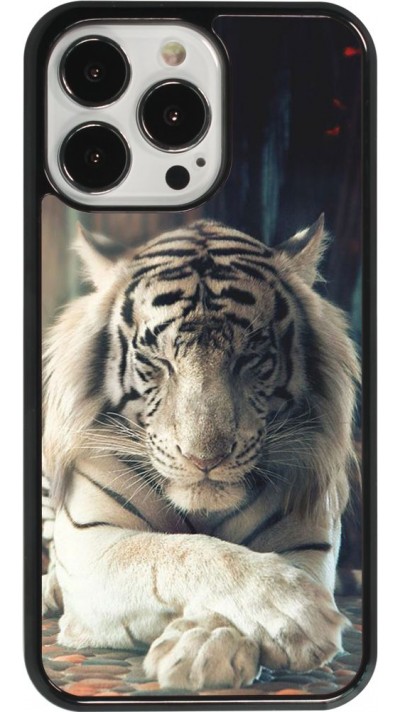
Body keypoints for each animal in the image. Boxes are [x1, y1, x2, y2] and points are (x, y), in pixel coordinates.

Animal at [42, 216, 360, 691]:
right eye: (157, 360)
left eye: (250, 357)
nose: (204, 459)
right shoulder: (92, 543)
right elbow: (179, 552)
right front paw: (293, 611)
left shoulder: (307, 542)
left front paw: (205, 647)